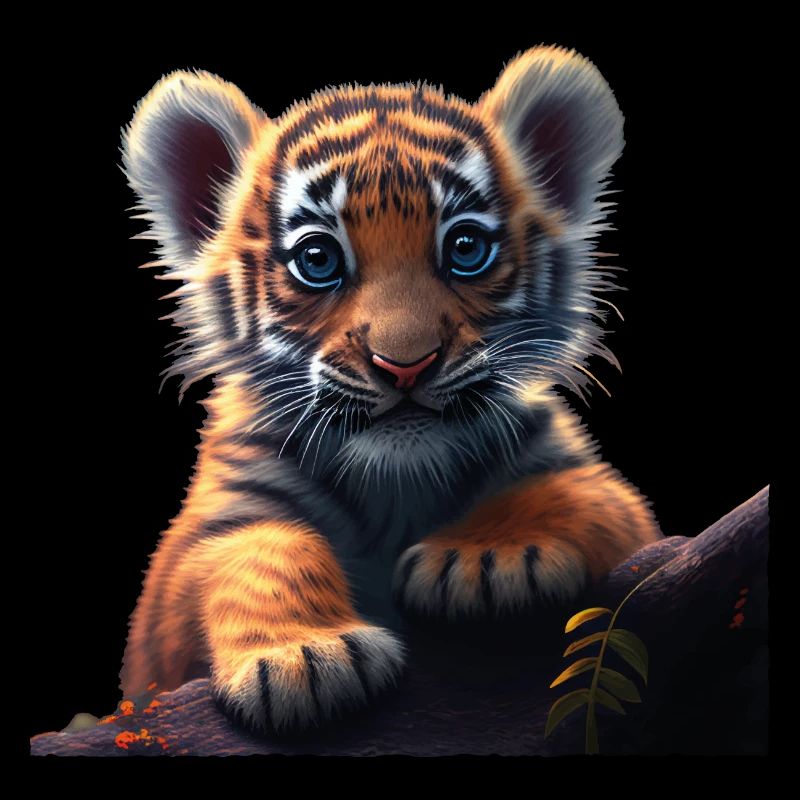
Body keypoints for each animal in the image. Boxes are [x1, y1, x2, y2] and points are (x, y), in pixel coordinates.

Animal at [119, 45, 661, 734]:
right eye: (317, 260)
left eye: (466, 248)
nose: (405, 365)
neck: (398, 483)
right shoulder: (199, 544)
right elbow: (258, 551)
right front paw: (304, 659)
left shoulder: (609, 497)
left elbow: (576, 492)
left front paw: (492, 557)